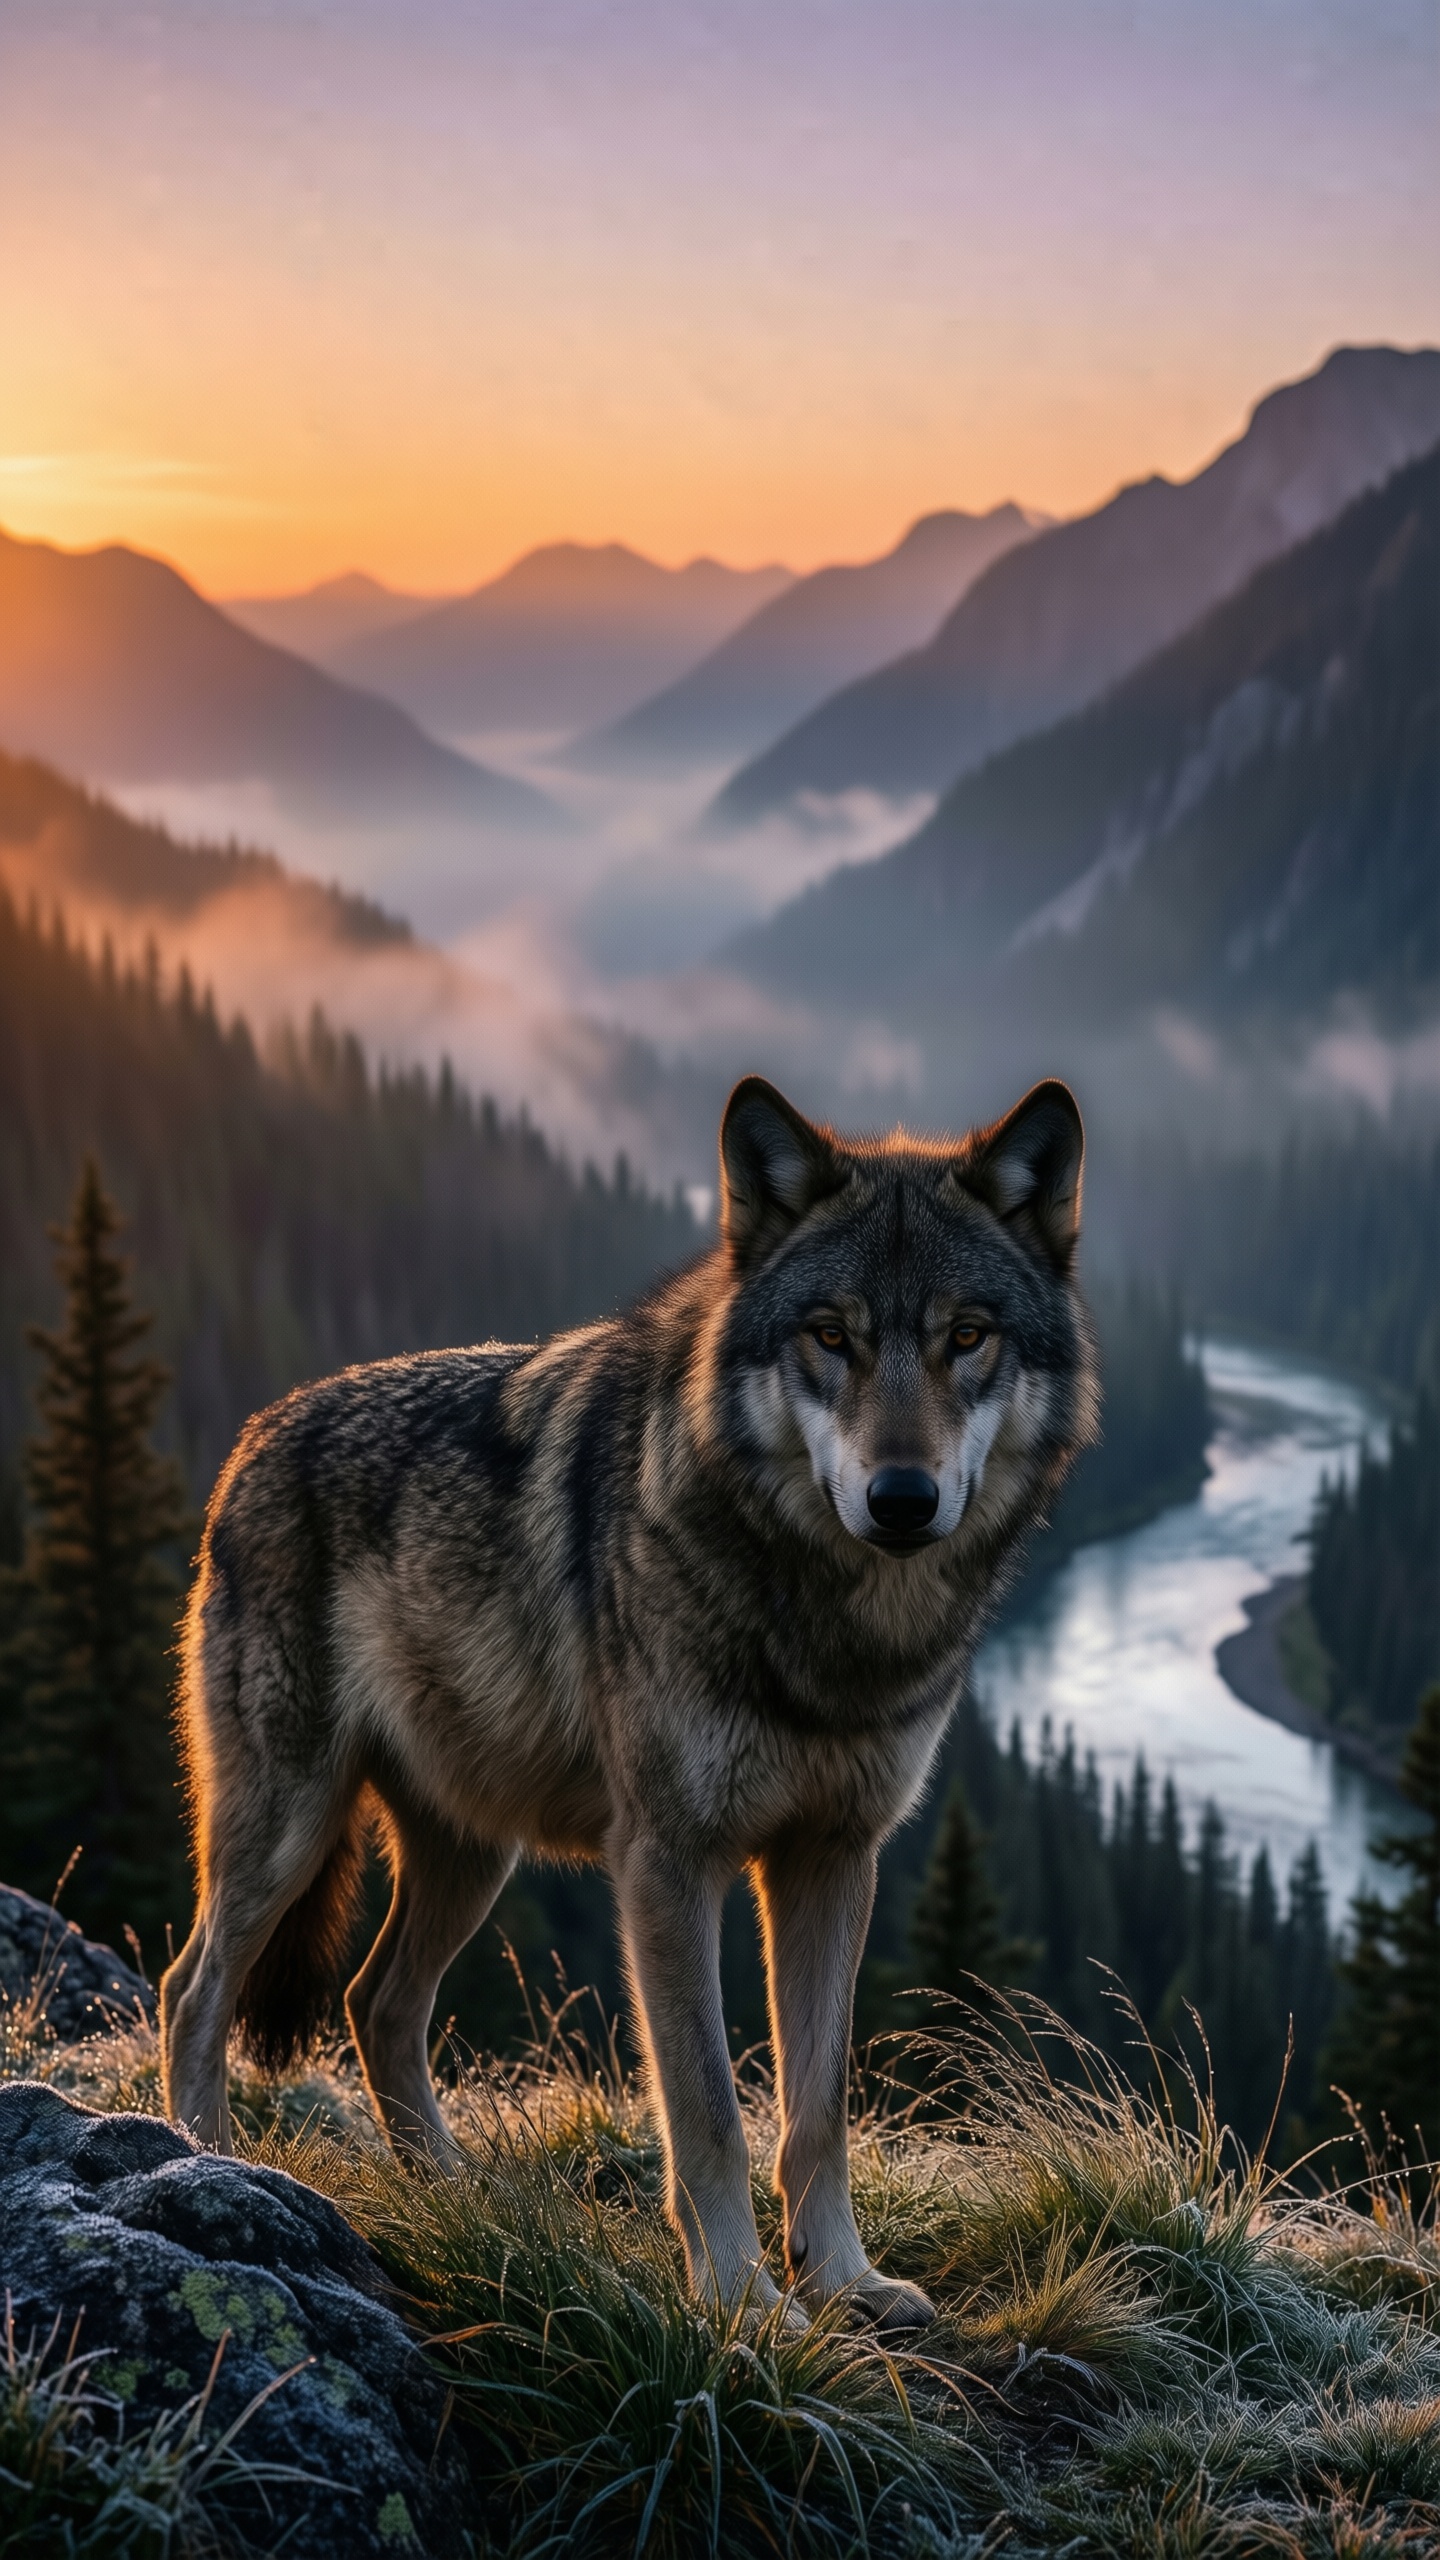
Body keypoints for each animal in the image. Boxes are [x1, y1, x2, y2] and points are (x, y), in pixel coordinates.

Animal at [161, 1074, 1095, 2330]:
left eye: (967, 1336)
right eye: (831, 1335)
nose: (903, 1497)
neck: (826, 1627)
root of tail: (253, 1439)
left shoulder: (834, 1859)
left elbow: (816, 2112)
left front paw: (844, 2281)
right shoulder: (669, 1860)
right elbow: (708, 2109)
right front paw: (747, 2302)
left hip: (470, 1855)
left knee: (375, 2003)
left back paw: (458, 2191)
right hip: (288, 1828)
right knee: (195, 1988)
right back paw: (210, 2159)